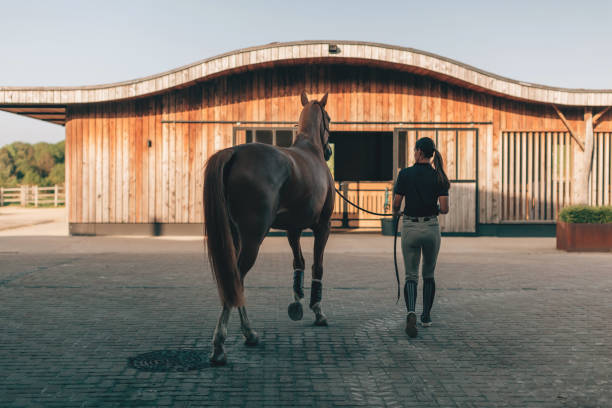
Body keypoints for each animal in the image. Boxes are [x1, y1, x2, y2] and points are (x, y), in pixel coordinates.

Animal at [204, 91, 334, 364]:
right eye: (329, 118)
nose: (329, 151)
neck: (310, 150)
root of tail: (234, 152)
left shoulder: (293, 229)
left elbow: (298, 263)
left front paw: (297, 304)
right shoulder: (322, 227)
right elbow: (317, 266)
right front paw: (317, 311)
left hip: (235, 237)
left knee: (235, 282)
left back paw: (248, 335)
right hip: (253, 238)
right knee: (237, 278)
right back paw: (222, 344)